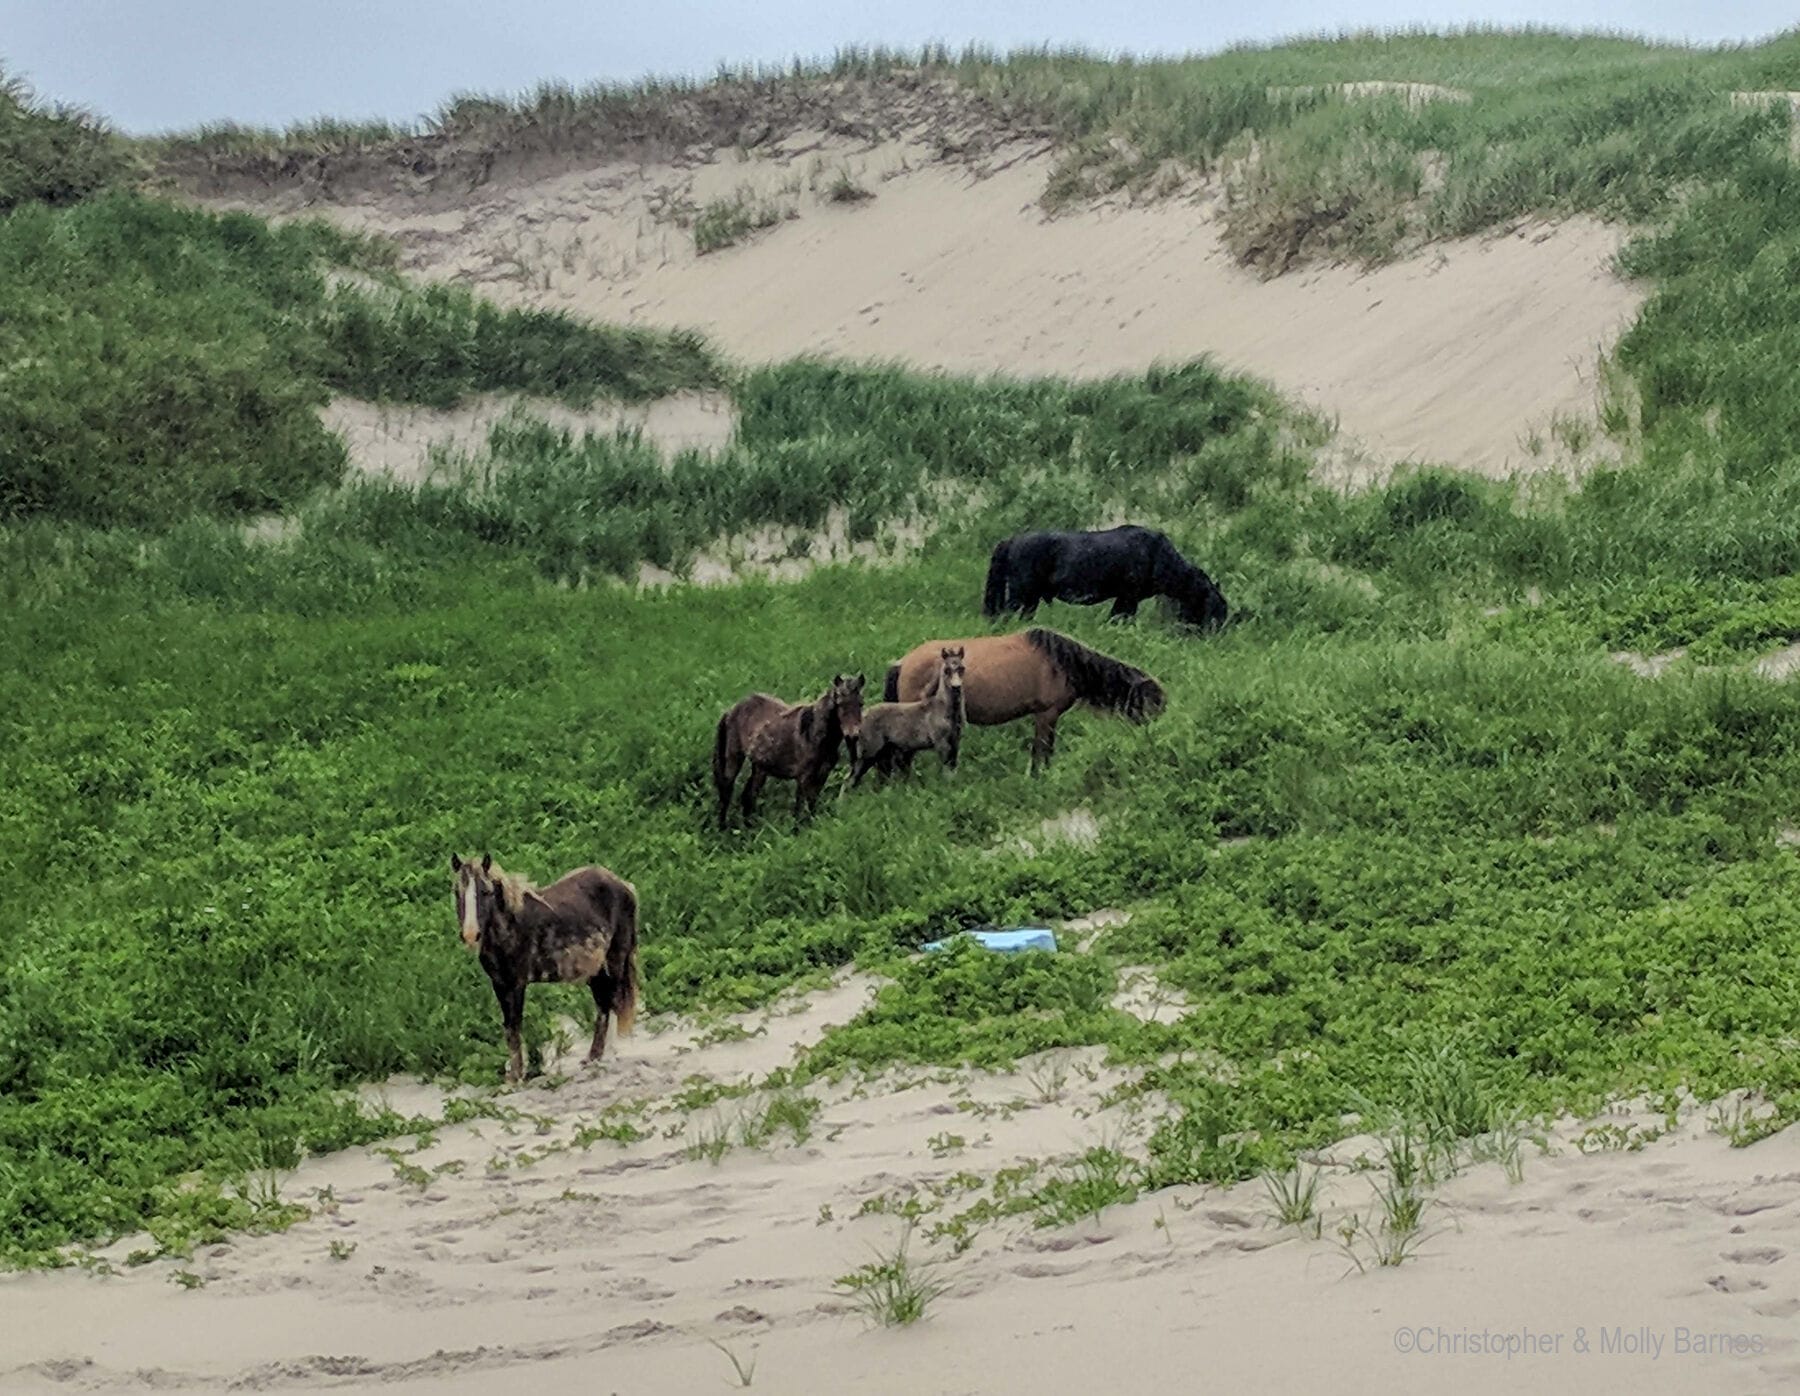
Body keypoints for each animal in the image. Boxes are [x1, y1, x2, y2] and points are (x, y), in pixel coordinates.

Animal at [450, 852, 640, 1086]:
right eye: (457, 891)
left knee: (612, 1003)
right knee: (603, 1007)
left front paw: (517, 1077)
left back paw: (609, 1056)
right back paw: (592, 1057)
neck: (510, 927)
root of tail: (623, 885)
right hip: (597, 970)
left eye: (485, 892)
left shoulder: (517, 984)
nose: (470, 934)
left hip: (614, 961)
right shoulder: (500, 984)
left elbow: (515, 1025)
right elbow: (509, 1029)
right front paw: (513, 1076)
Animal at [713, 673, 865, 830]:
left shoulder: (822, 774)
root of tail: (731, 710)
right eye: (840, 703)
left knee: (749, 795)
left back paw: (749, 827)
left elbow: (812, 803)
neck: (813, 733)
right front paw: (797, 830)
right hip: (734, 758)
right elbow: (800, 806)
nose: (852, 735)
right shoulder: (804, 777)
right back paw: (723, 827)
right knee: (727, 791)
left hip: (760, 767)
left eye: (861, 703)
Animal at [849, 646, 965, 786]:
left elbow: (952, 766)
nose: (956, 687)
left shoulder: (955, 740)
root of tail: (861, 717)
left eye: (962, 668)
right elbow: (945, 768)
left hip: (883, 752)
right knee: (852, 777)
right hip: (870, 752)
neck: (942, 708)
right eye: (946, 670)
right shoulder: (941, 742)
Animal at [884, 627, 1164, 775]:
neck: (1062, 663)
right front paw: (1039, 777)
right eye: (1150, 704)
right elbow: (1042, 750)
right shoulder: (1046, 715)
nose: (1150, 739)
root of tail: (903, 662)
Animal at [982, 524, 1228, 630]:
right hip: (1020, 594)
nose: (1215, 634)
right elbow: (1121, 618)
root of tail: (1012, 540)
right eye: (1216, 610)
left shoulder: (1124, 598)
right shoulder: (1129, 597)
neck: (1159, 554)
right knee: (1004, 615)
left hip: (1031, 598)